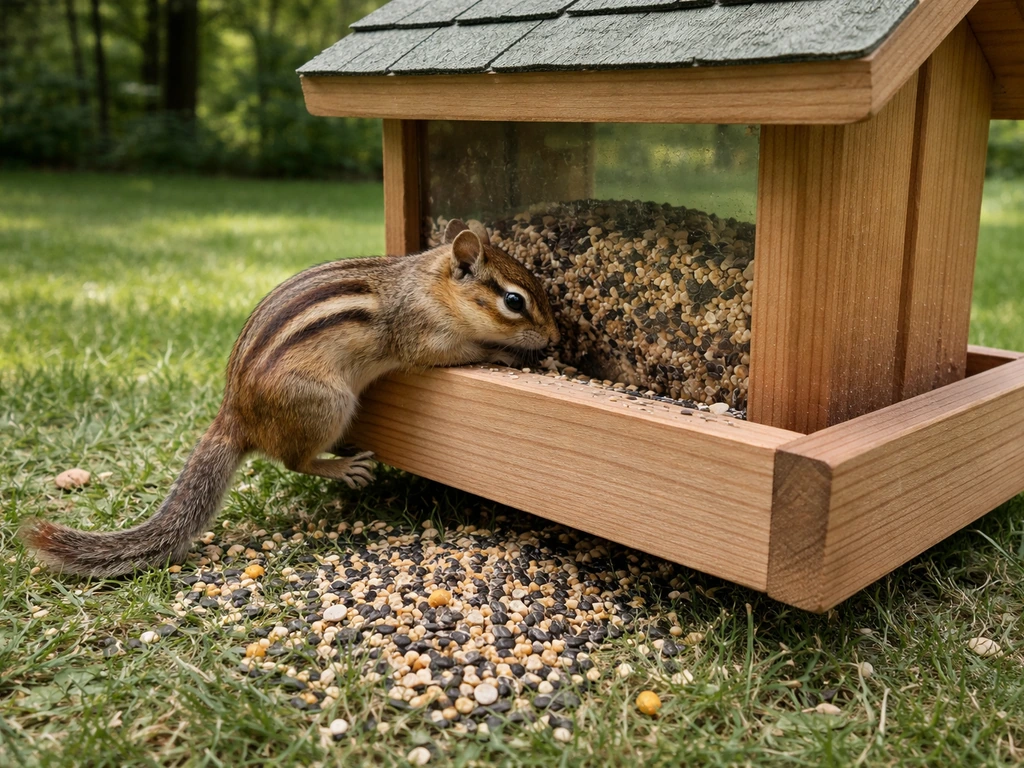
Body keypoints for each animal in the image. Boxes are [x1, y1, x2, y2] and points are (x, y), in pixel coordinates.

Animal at [20, 219, 559, 578]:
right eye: (514, 301)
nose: (554, 337)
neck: (430, 284)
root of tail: (235, 411)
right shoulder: (425, 338)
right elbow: (463, 350)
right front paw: (507, 353)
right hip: (328, 403)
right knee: (292, 460)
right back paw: (342, 467)